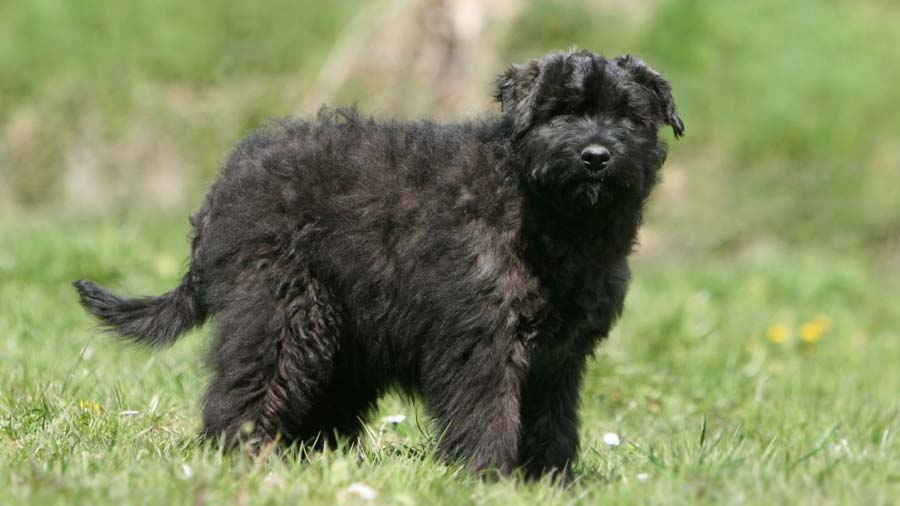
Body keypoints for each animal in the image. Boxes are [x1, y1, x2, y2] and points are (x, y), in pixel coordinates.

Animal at [75, 48, 684, 478]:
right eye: (561, 113)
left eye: (629, 117)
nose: (596, 156)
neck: (544, 213)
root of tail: (222, 189)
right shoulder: (481, 338)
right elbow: (487, 409)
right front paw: (487, 475)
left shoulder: (560, 353)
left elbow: (553, 419)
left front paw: (549, 478)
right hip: (284, 311)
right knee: (246, 386)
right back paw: (244, 454)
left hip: (344, 336)